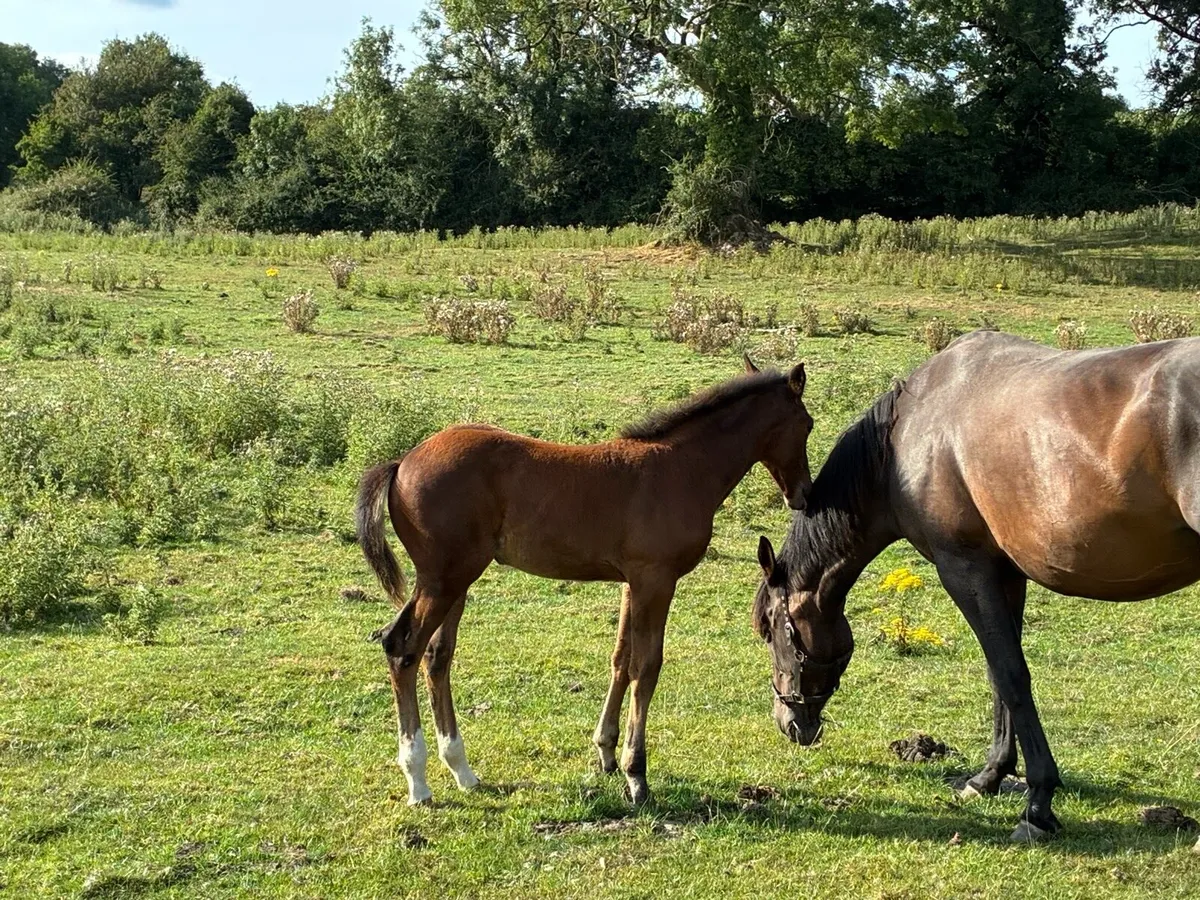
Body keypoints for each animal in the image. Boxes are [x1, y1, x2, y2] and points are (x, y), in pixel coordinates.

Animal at [357, 358, 813, 806]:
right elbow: (646, 667)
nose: (803, 495)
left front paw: (607, 753)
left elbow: (621, 660)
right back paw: (418, 781)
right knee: (402, 648)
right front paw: (636, 775)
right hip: (443, 579)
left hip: (455, 581)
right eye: (807, 424)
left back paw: (462, 771)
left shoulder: (632, 582)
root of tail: (401, 463)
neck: (680, 469)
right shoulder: (656, 580)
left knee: (437, 657)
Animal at [751, 330, 1200, 841]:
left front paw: (1038, 806)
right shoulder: (1004, 574)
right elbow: (999, 675)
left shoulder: (964, 570)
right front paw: (990, 776)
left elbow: (1010, 674)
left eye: (771, 629)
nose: (788, 722)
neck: (903, 442)